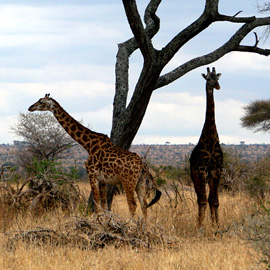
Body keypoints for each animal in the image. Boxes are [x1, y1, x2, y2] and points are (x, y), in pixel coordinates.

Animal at [28, 94, 161, 218]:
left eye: (41, 102)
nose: (30, 107)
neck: (88, 144)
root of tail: (143, 165)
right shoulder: (102, 180)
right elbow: (104, 206)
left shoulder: (92, 174)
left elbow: (97, 205)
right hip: (140, 181)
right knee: (144, 205)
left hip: (128, 181)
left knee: (133, 204)